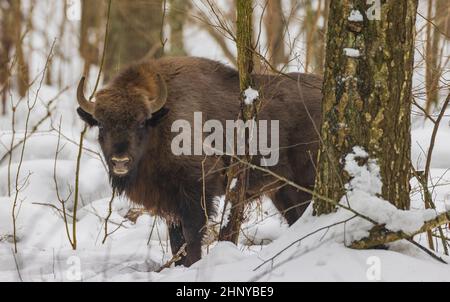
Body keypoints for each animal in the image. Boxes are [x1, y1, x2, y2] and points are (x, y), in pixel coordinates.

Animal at [78, 56, 324, 266]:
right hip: (283, 191)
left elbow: (192, 237)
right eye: (101, 124)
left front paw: (192, 264)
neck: (162, 121)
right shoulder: (170, 203)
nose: (120, 162)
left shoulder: (196, 193)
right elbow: (176, 241)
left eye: (141, 122)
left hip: (303, 184)